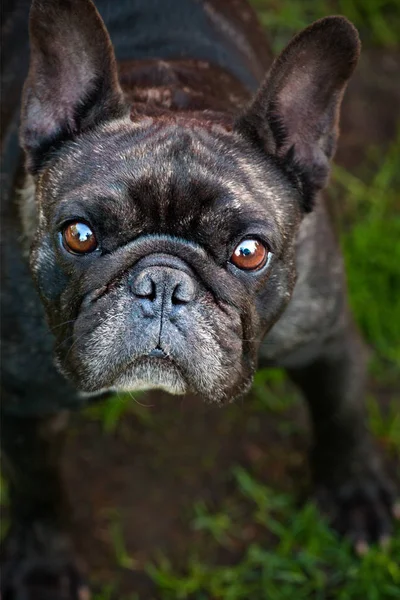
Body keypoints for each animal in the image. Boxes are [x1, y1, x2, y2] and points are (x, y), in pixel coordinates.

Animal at [1, 0, 398, 596]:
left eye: (250, 252)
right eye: (79, 235)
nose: (163, 284)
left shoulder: (326, 336)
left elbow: (342, 412)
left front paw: (356, 493)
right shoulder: (26, 396)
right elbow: (36, 485)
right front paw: (43, 564)